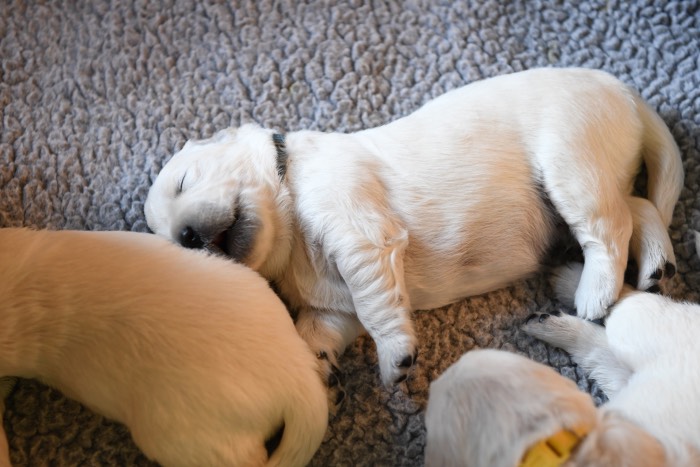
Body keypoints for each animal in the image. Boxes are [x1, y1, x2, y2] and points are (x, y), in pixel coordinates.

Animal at [144, 66, 684, 388]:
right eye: (178, 246)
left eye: (185, 181)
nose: (188, 236)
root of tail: (624, 92)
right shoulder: (329, 308)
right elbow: (317, 330)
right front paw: (316, 372)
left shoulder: (356, 228)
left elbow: (373, 300)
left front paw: (395, 358)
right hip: (600, 169)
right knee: (638, 207)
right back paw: (656, 266)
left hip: (571, 160)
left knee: (609, 228)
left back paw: (595, 293)